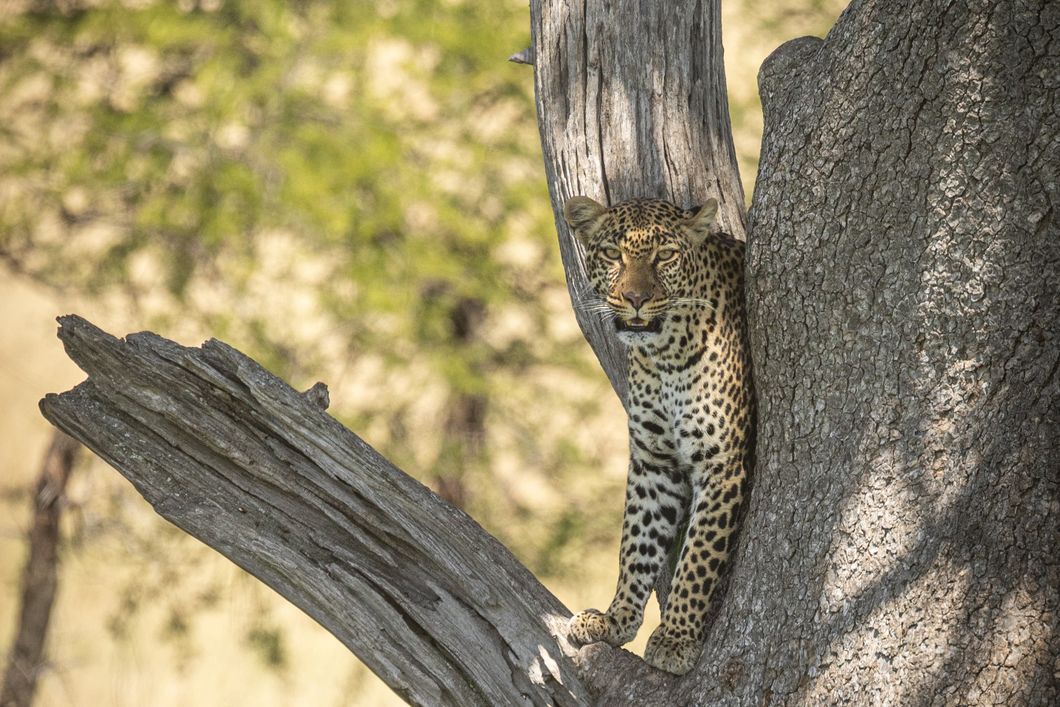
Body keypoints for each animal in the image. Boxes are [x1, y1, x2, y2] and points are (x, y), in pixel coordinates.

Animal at [563, 195, 754, 676]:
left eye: (665, 256)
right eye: (614, 255)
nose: (635, 299)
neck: (665, 353)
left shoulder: (721, 461)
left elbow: (699, 555)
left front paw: (676, 638)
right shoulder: (654, 461)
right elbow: (636, 543)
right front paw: (615, 619)